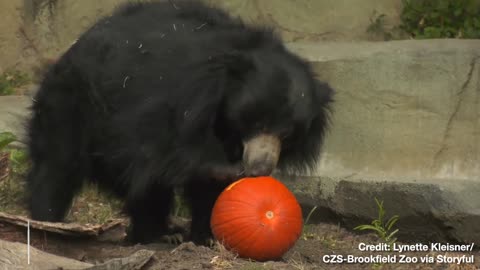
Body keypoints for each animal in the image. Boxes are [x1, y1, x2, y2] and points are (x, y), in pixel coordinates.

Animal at [26, 0, 334, 245]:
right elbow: (165, 156)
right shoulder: (172, 103)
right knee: (58, 164)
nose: (260, 168)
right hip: (73, 102)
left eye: (288, 133)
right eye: (256, 123)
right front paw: (224, 173)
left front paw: (207, 235)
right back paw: (51, 223)